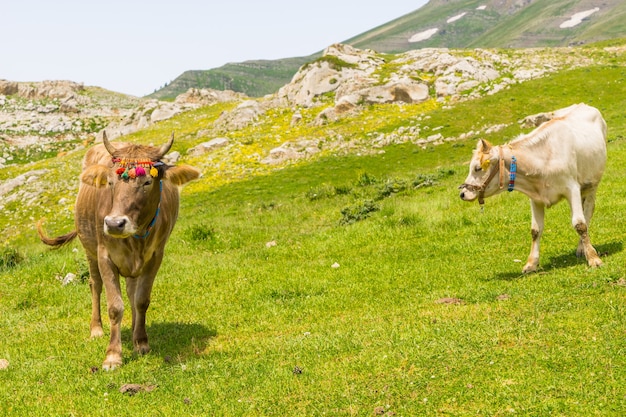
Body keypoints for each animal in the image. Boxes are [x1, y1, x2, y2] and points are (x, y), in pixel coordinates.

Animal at [38, 132, 197, 368]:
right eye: (111, 183)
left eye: (147, 182)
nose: (114, 223)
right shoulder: (105, 256)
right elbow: (115, 306)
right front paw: (113, 355)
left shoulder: (155, 257)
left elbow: (141, 300)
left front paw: (141, 342)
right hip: (89, 249)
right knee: (95, 285)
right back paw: (96, 329)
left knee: (132, 291)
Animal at [458, 103, 604, 272]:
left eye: (477, 168)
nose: (462, 193)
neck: (543, 160)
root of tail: (582, 104)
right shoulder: (535, 198)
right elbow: (535, 230)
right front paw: (531, 263)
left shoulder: (572, 188)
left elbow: (580, 224)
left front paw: (593, 258)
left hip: (592, 184)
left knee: (588, 212)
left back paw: (582, 249)